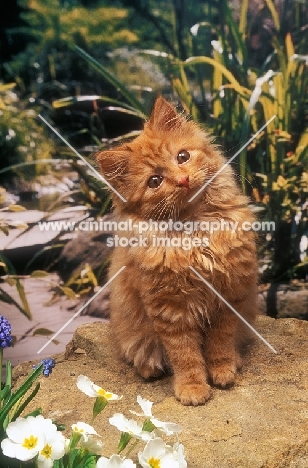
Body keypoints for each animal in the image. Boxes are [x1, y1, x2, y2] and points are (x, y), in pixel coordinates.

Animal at [96, 96, 258, 406]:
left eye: (182, 157)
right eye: (154, 181)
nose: (182, 180)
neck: (195, 230)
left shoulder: (229, 295)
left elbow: (220, 342)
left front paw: (222, 371)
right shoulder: (171, 309)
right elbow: (185, 355)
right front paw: (193, 388)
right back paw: (148, 368)